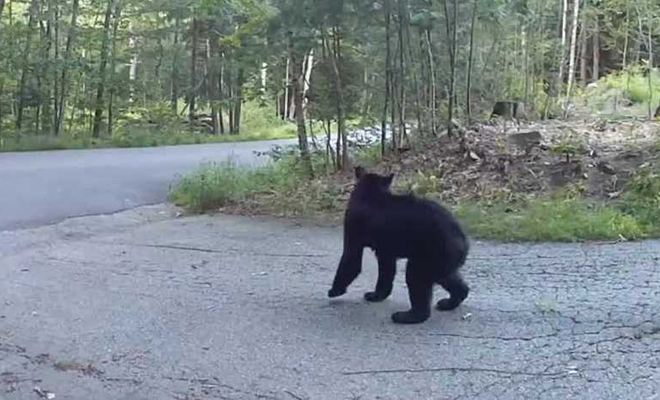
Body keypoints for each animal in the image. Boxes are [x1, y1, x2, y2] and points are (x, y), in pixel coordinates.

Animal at [328, 166, 470, 324]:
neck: (372, 192)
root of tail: (462, 240)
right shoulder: (385, 250)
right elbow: (386, 270)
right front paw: (376, 295)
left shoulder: (353, 227)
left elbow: (351, 259)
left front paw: (334, 290)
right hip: (442, 260)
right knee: (449, 278)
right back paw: (449, 302)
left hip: (429, 255)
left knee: (416, 280)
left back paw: (406, 316)